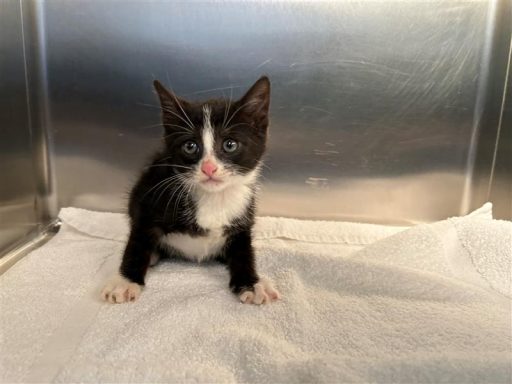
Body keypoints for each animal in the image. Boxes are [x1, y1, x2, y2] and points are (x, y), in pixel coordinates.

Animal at [101, 76, 280, 306]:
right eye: (190, 146)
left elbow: (243, 251)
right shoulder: (148, 199)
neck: (213, 198)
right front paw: (125, 281)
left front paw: (251, 283)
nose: (209, 168)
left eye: (230, 144)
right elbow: (138, 241)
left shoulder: (243, 219)